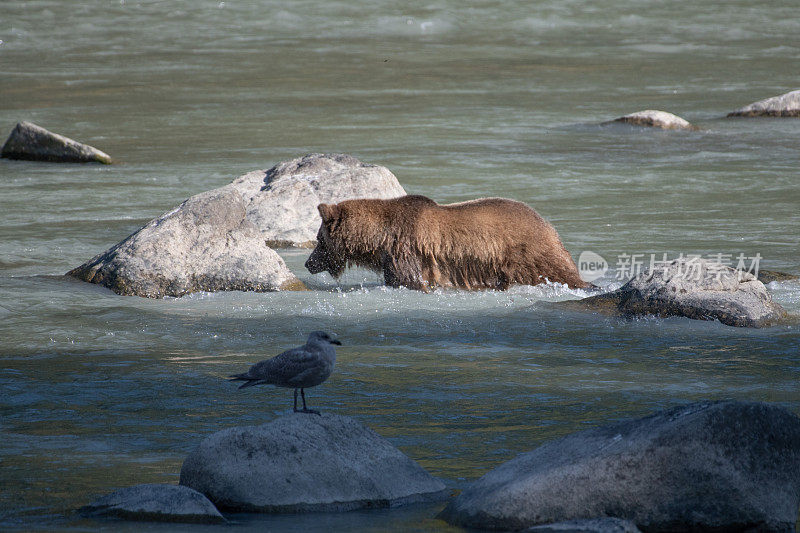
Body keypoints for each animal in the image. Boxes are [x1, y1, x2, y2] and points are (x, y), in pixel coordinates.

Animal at [304, 193, 592, 288]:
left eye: (318, 239)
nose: (308, 263)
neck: (379, 239)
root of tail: (548, 224)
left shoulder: (404, 251)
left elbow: (408, 280)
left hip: (528, 253)